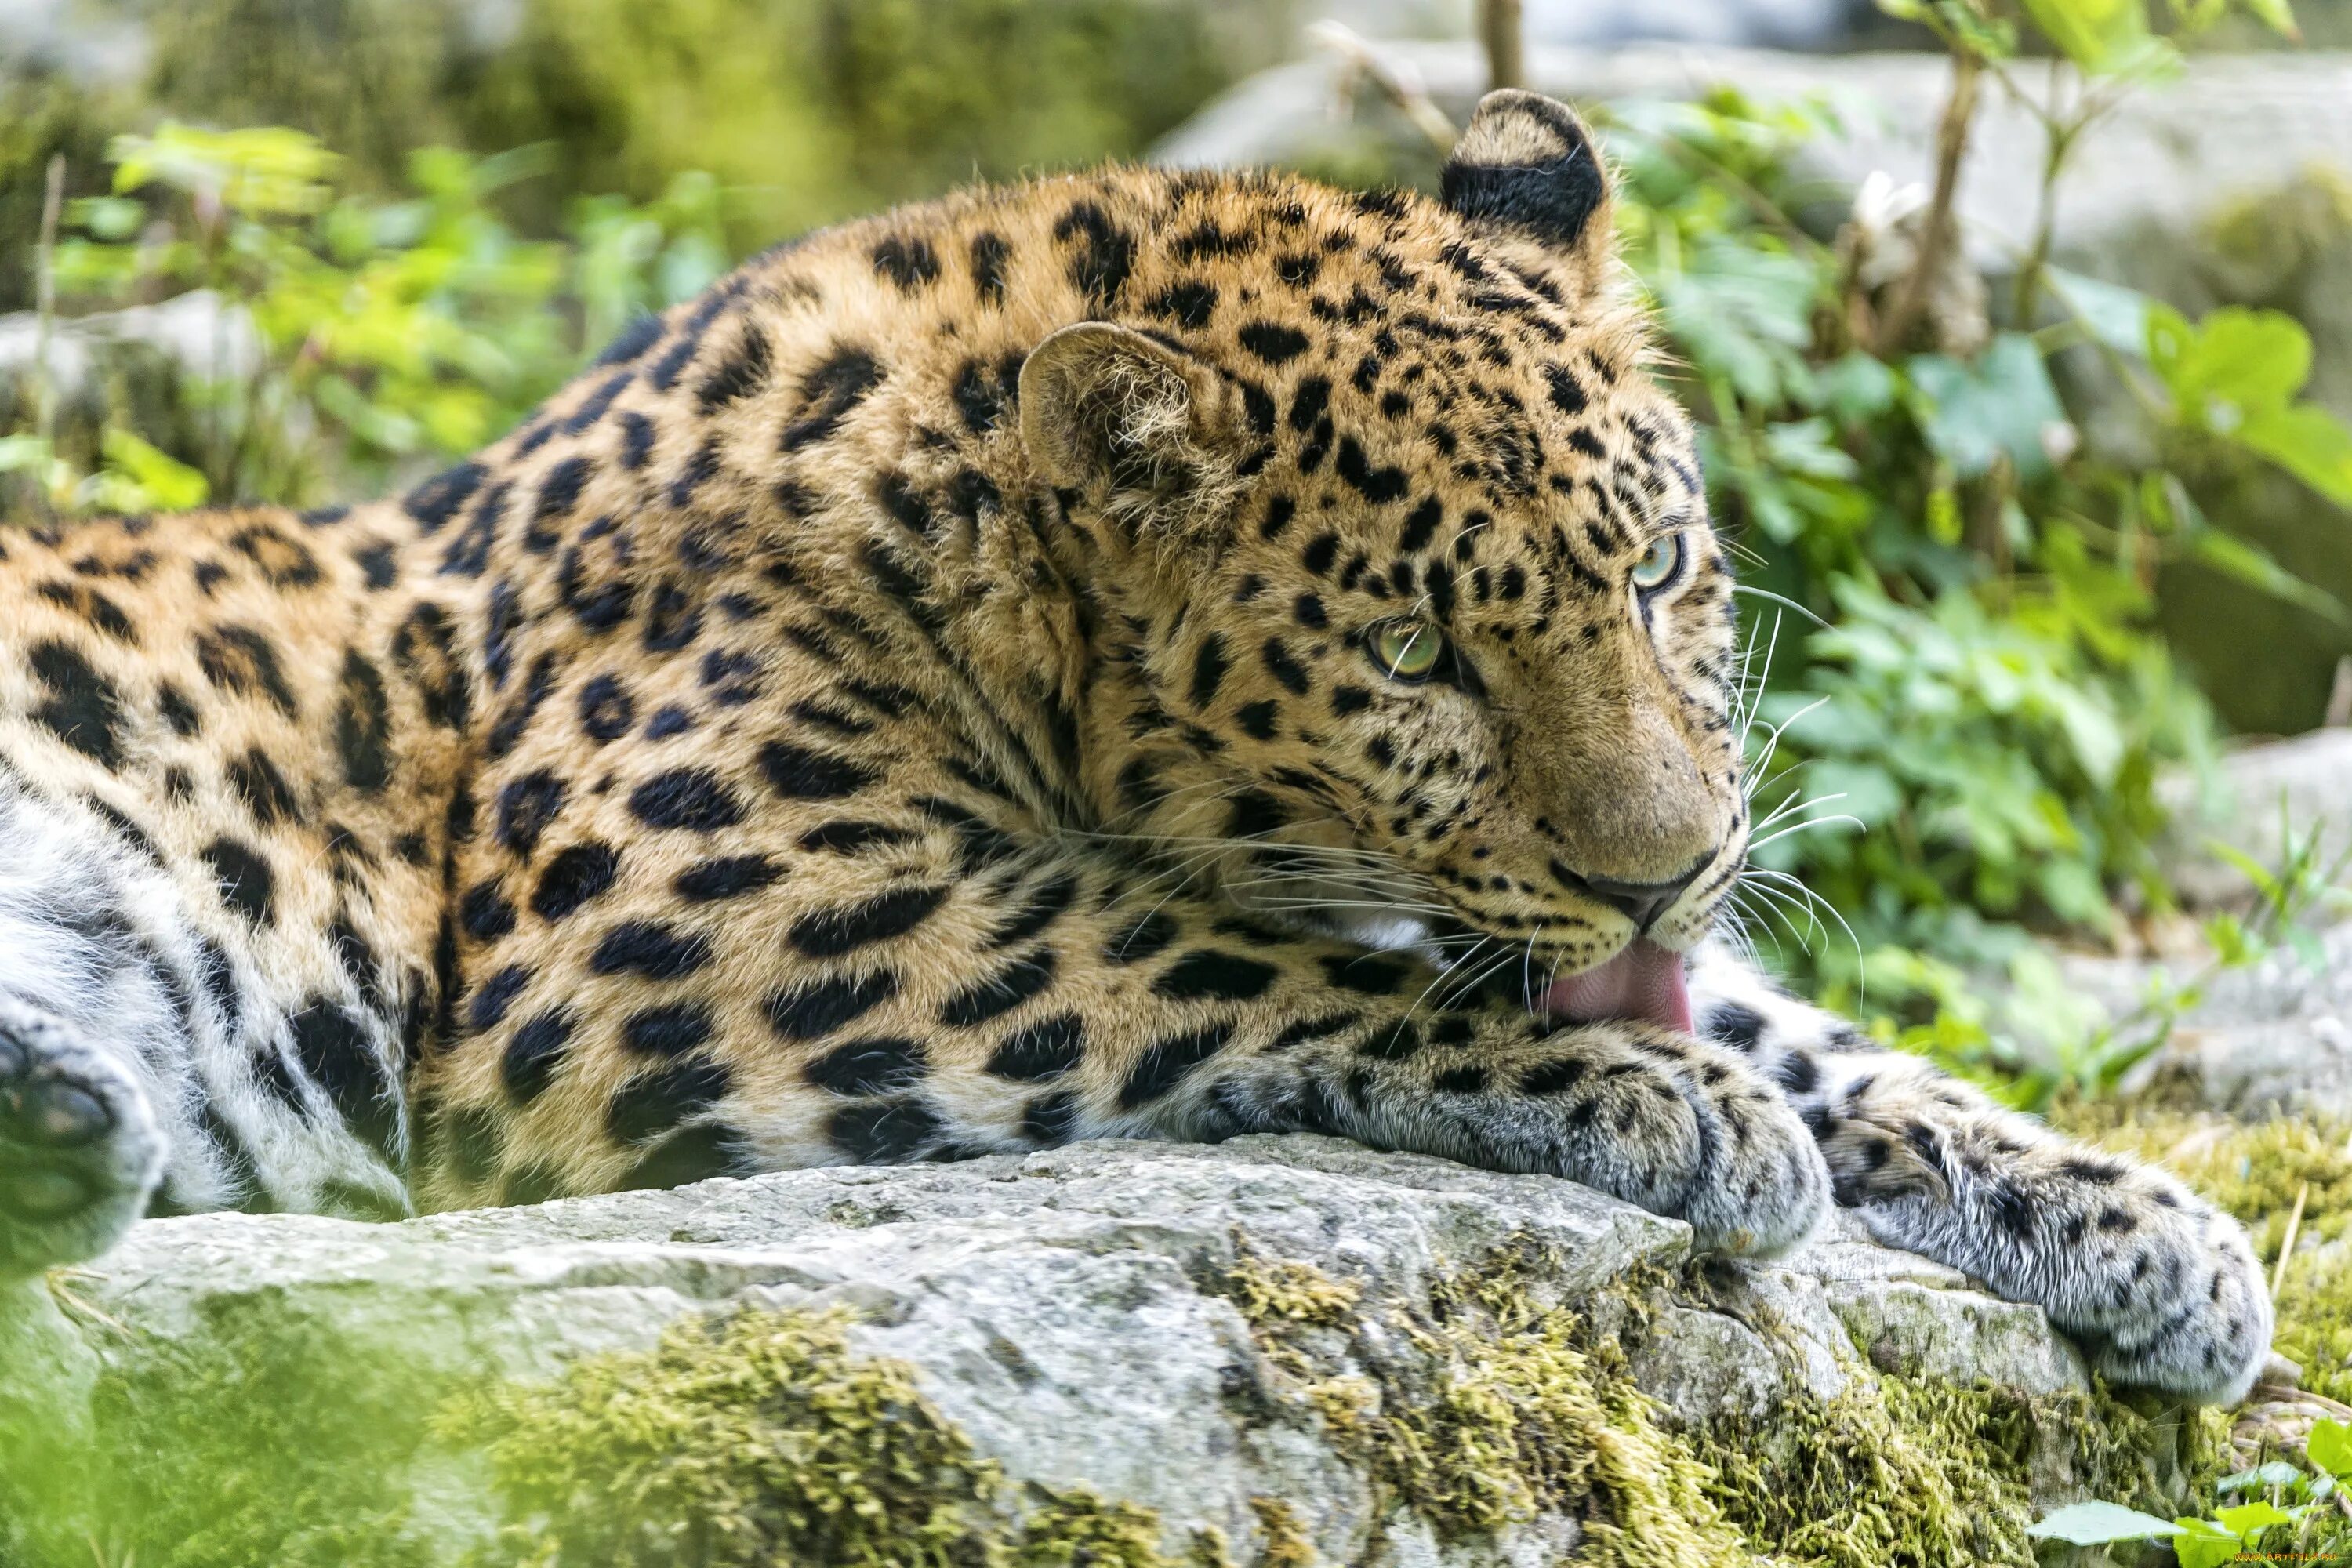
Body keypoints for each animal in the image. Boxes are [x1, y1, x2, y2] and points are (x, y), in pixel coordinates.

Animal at [0, 92, 2267, 1401]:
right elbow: (1202, 956)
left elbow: (1812, 1033)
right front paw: (1661, 1101)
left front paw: (2131, 1219)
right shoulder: (673, 932)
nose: (1659, 868)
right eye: (1415, 648)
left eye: (1655, 568)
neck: (942, 545)